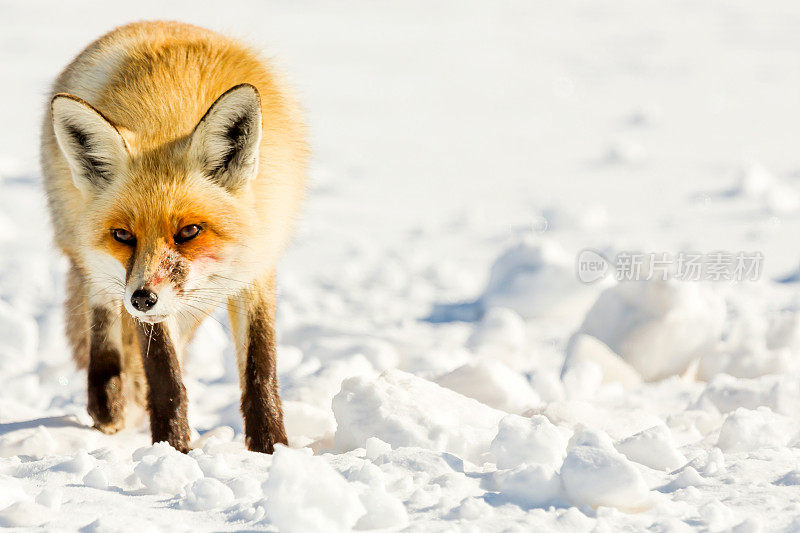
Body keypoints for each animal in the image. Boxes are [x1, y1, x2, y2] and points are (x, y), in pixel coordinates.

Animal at [39, 21, 310, 454]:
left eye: (189, 231)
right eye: (123, 235)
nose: (142, 299)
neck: (171, 113)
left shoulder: (256, 268)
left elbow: (260, 370)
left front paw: (271, 449)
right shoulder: (141, 297)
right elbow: (165, 376)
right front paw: (174, 448)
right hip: (89, 256)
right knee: (101, 317)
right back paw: (107, 406)